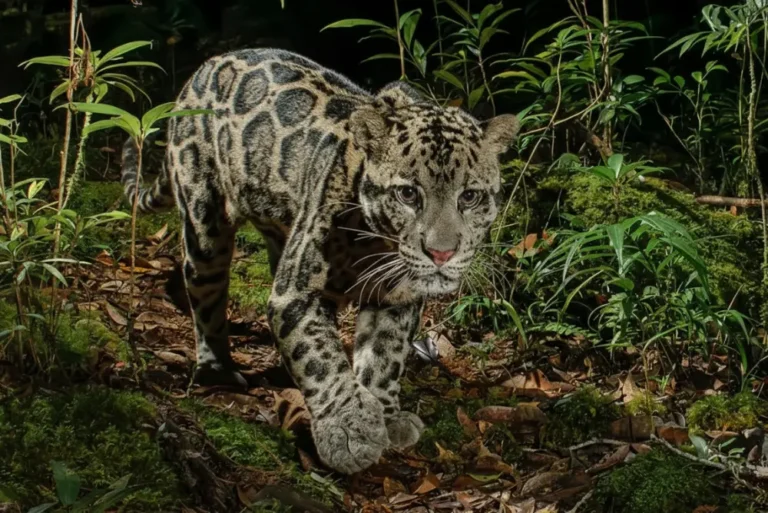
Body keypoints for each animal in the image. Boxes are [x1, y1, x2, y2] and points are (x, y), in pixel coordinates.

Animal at [120, 48, 520, 474]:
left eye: (470, 197)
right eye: (408, 194)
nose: (441, 253)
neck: (375, 246)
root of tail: (203, 69)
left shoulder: (398, 297)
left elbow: (385, 356)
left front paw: (385, 414)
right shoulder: (297, 293)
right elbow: (320, 358)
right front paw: (349, 431)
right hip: (203, 221)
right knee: (204, 290)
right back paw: (216, 371)